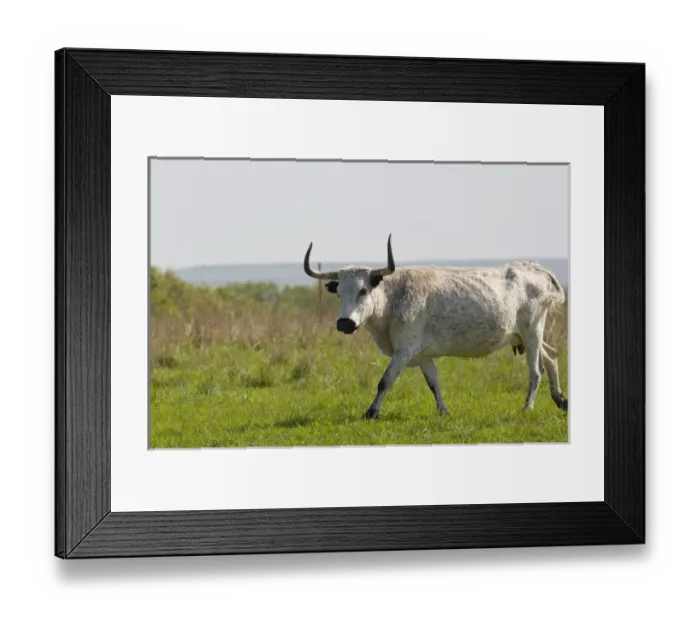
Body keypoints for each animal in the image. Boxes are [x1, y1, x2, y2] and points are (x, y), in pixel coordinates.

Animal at [303, 235, 568, 420]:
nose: (344, 323)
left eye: (363, 290)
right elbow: (434, 384)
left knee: (536, 371)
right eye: (338, 293)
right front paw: (444, 410)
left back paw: (528, 407)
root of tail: (534, 268)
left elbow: (385, 380)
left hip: (532, 331)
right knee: (551, 356)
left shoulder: (404, 351)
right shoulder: (423, 355)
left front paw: (371, 412)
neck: (395, 296)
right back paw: (560, 399)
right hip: (525, 334)